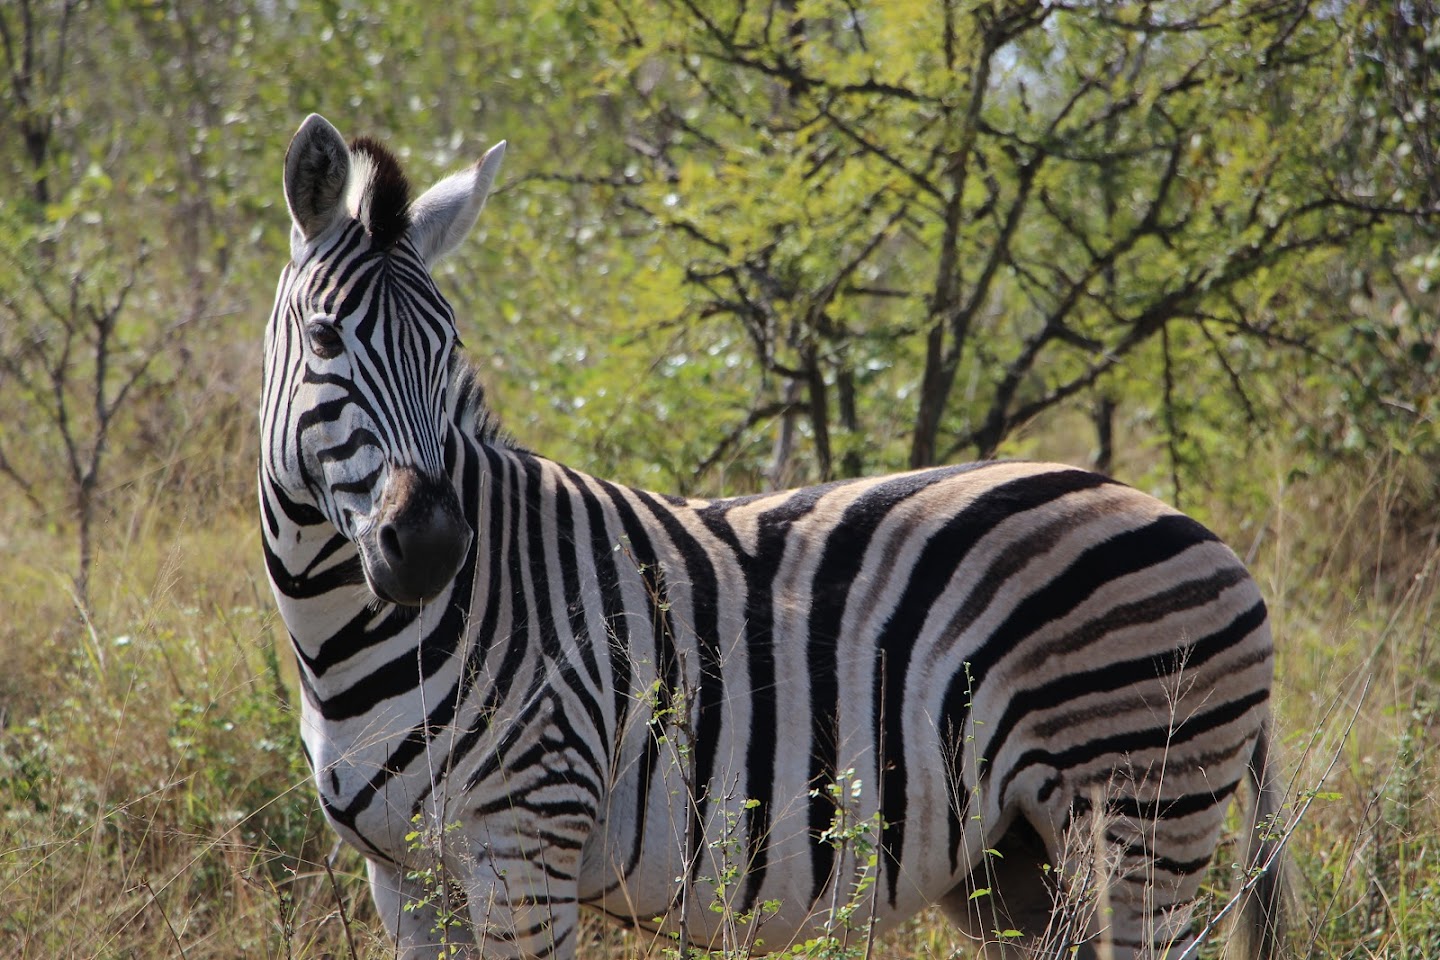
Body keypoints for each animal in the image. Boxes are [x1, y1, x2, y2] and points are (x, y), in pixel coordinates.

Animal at [262, 112, 1296, 960]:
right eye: (325, 341)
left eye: (449, 351)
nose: (436, 547)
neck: (340, 636)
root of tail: (1206, 536)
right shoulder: (404, 877)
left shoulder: (528, 846)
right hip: (1020, 860)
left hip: (1145, 812)